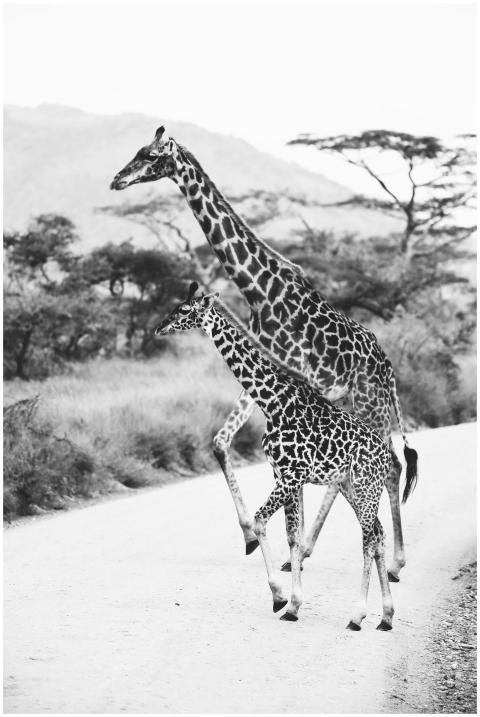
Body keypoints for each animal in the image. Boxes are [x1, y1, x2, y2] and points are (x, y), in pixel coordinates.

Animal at [110, 126, 418, 581]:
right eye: (136, 150)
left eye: (149, 155)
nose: (117, 179)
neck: (258, 289)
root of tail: (389, 365)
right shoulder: (261, 375)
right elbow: (221, 442)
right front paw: (253, 537)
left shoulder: (294, 377)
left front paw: (286, 548)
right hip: (357, 403)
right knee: (365, 468)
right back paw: (314, 551)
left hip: (370, 402)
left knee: (391, 464)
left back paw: (394, 561)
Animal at [156, 282, 398, 629]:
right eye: (176, 307)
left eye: (185, 310)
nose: (160, 327)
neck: (274, 403)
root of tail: (386, 455)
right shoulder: (283, 474)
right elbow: (292, 536)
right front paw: (294, 604)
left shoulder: (292, 474)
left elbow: (260, 521)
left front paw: (279, 596)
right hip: (353, 486)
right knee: (377, 533)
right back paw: (387, 615)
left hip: (366, 485)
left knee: (368, 538)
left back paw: (358, 614)